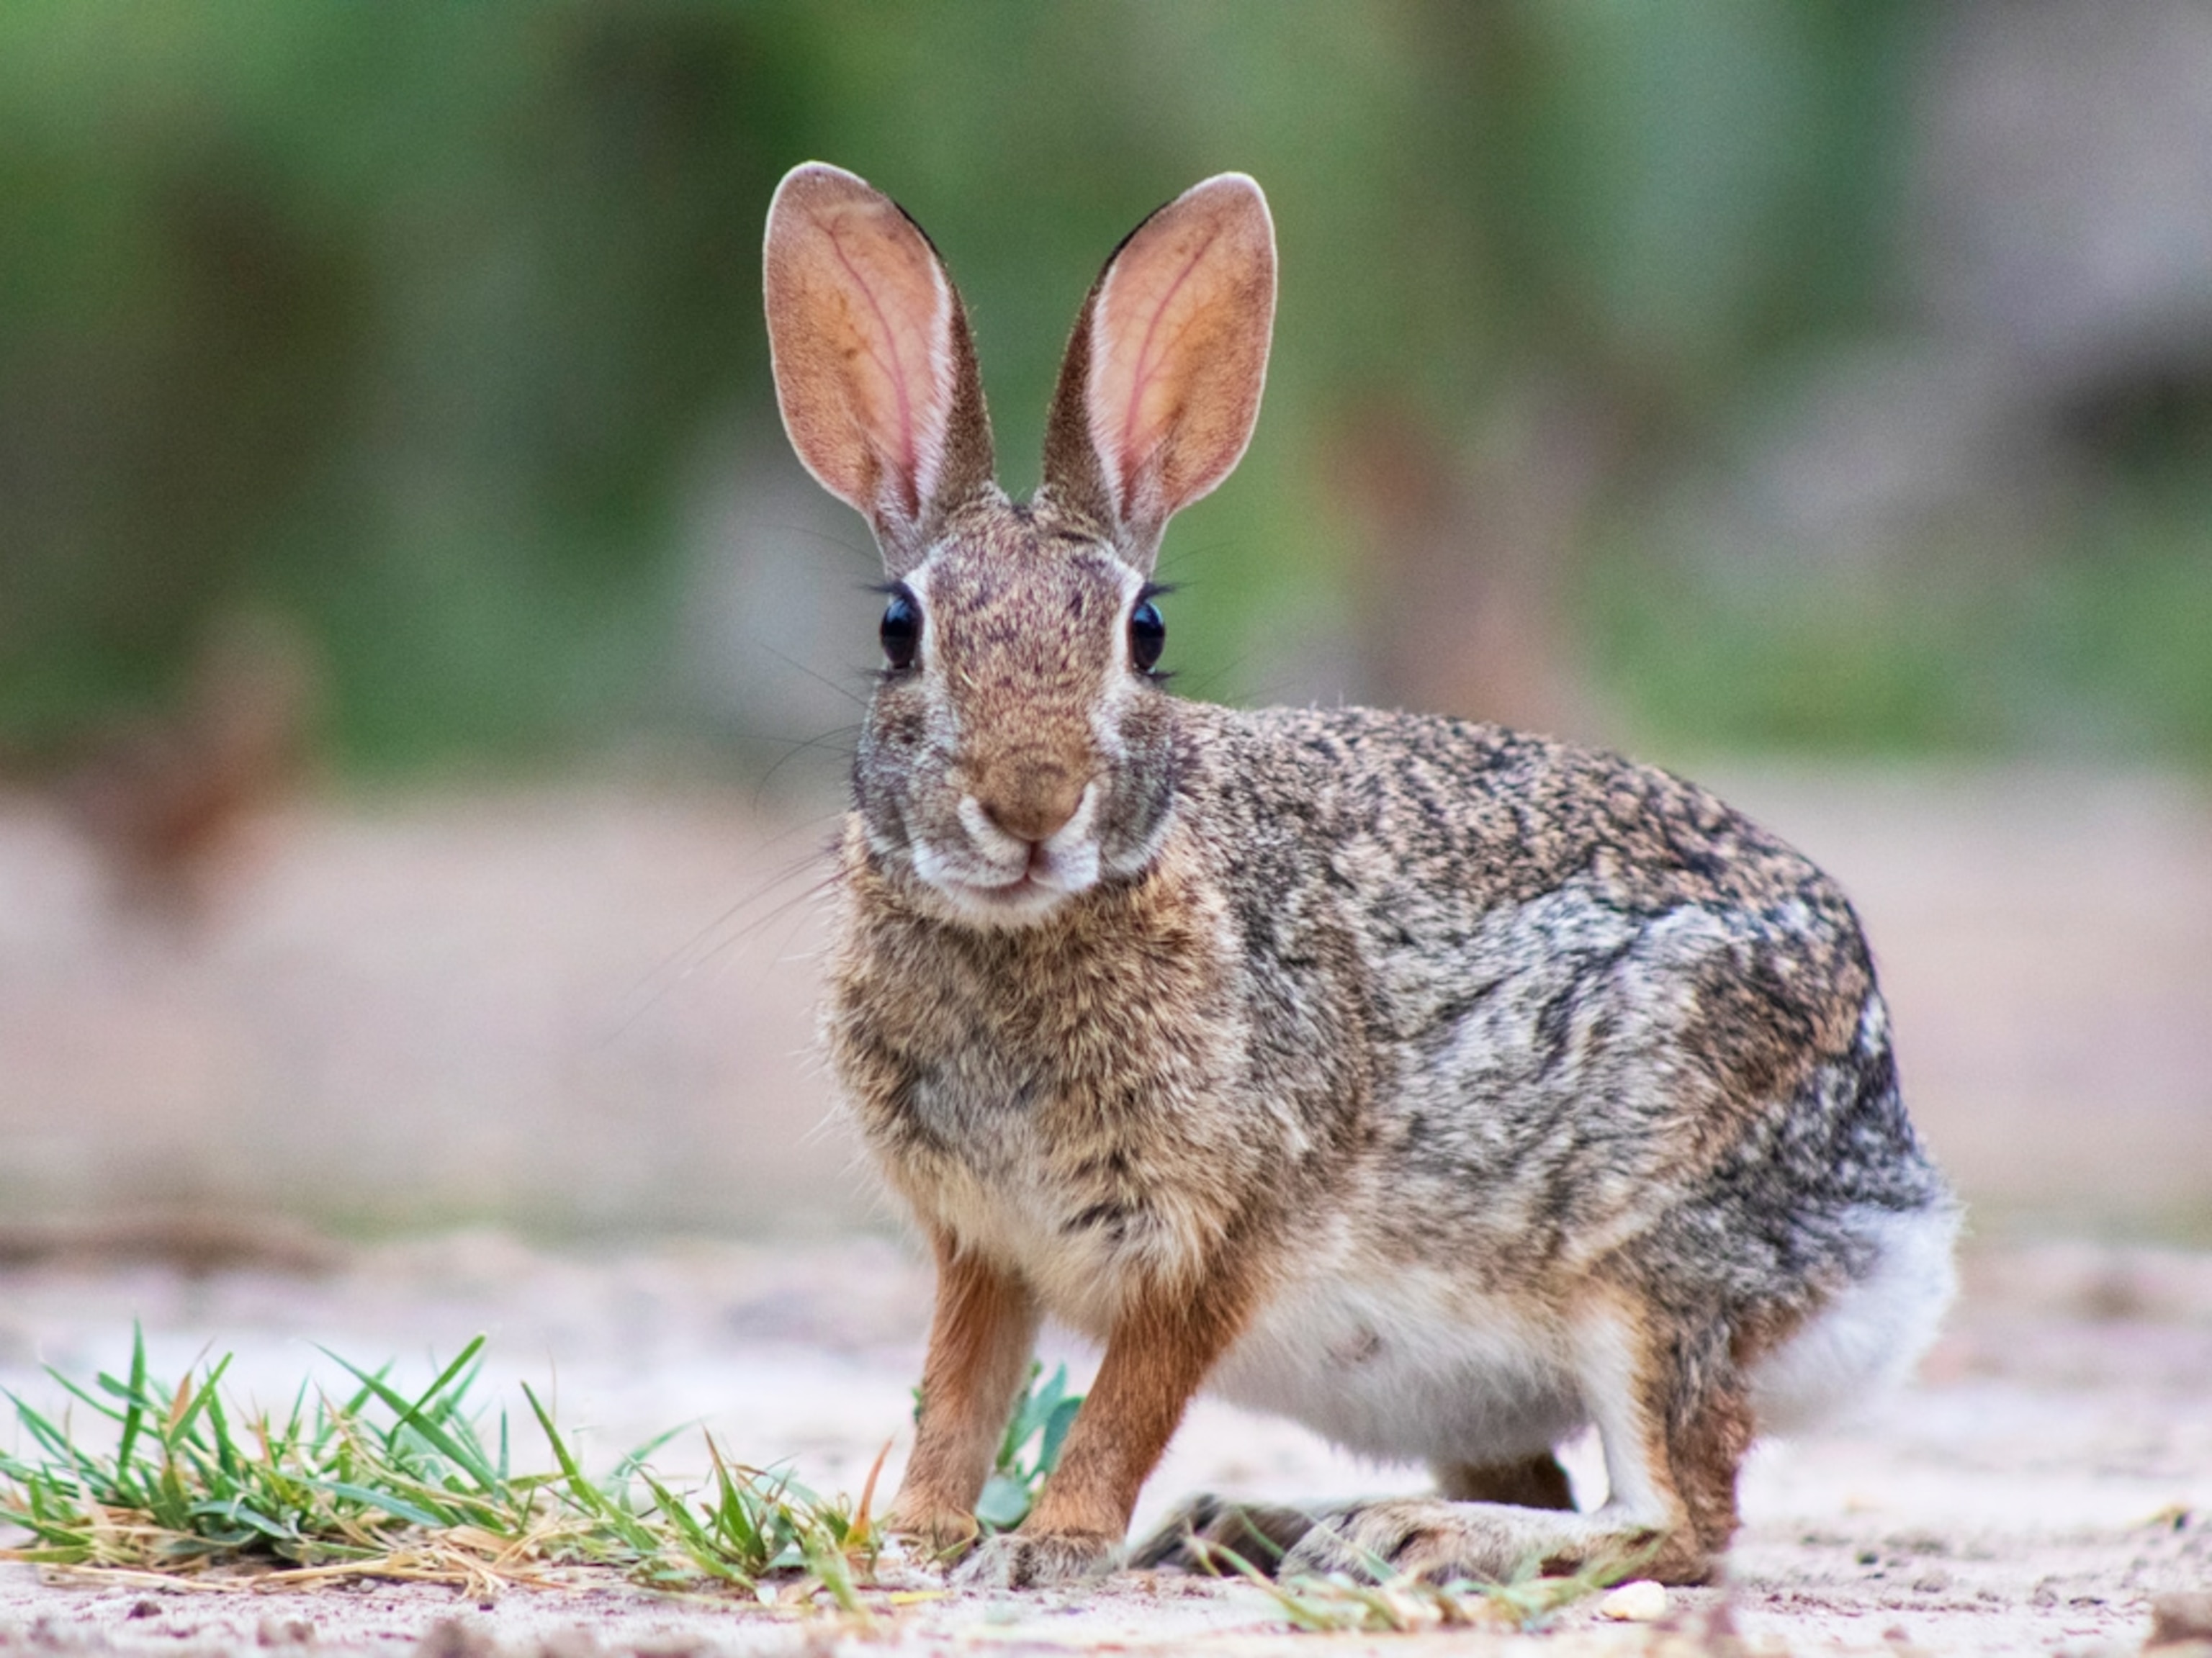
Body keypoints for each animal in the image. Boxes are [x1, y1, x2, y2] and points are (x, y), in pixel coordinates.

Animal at [760, 166, 1955, 1600]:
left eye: (1143, 634)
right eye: (899, 629)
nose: (1030, 802)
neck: (1038, 923)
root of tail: (1897, 1209)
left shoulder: (1221, 1233)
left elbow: (1126, 1403)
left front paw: (1053, 1545)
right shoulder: (985, 1243)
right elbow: (960, 1386)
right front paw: (922, 1533)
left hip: (1647, 1264)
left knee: (1677, 1519)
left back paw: (1412, 1536)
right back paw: (1264, 1525)